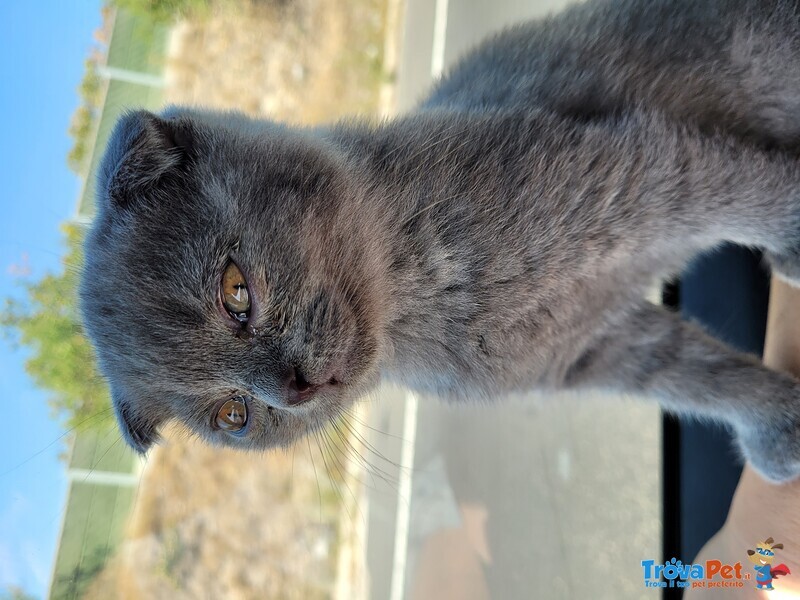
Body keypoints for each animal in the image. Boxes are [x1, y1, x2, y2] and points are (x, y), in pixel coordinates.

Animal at [79, 0, 800, 480]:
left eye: (235, 293)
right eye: (233, 414)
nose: (293, 388)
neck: (429, 304)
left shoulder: (633, 170)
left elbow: (737, 194)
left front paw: (791, 231)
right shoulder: (586, 348)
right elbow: (691, 377)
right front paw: (778, 425)